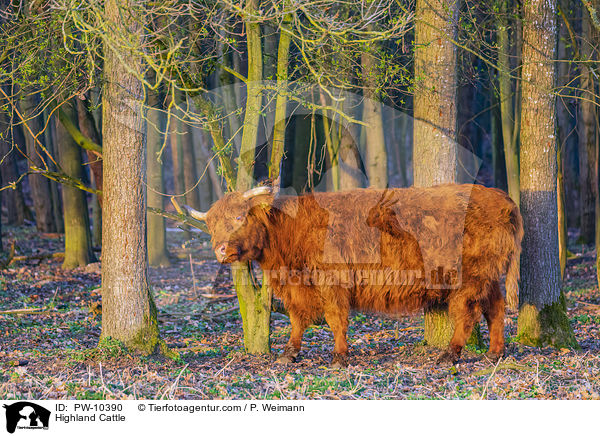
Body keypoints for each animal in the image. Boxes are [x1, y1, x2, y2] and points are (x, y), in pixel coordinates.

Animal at [185, 184, 524, 368]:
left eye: (239, 217)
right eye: (211, 225)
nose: (220, 250)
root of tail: (502, 198)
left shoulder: (332, 282)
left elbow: (336, 319)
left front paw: (338, 357)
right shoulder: (298, 287)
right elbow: (296, 319)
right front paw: (289, 353)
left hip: (470, 277)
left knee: (467, 314)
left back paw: (448, 356)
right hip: (488, 275)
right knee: (495, 309)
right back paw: (494, 354)